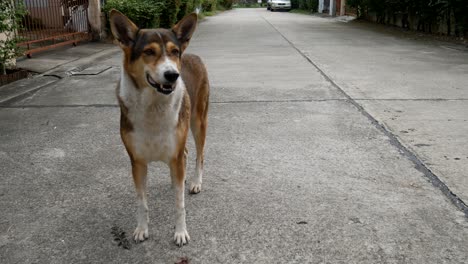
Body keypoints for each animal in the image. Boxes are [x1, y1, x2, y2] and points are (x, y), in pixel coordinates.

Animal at [109, 9, 208, 246]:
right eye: (149, 52)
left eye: (174, 52)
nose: (172, 75)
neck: (153, 105)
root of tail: (193, 55)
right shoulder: (137, 162)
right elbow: (141, 202)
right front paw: (141, 229)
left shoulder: (175, 156)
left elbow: (179, 205)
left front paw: (180, 232)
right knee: (187, 154)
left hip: (198, 122)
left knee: (199, 155)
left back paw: (195, 182)